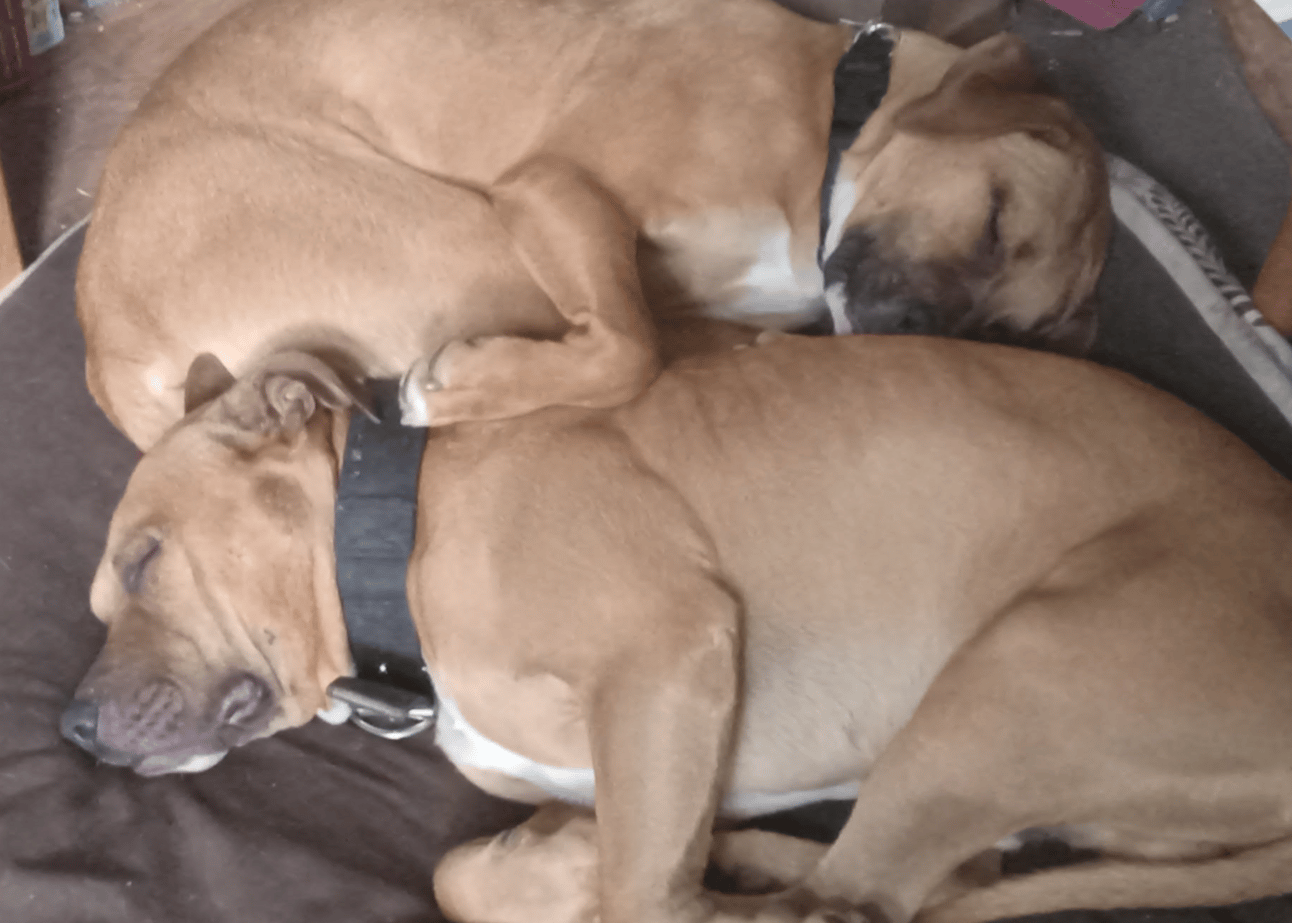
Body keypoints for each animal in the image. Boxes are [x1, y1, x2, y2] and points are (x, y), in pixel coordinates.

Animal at [64, 329, 1292, 923]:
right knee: (932, 880)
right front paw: (551, 860)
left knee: (859, 906)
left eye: (143, 560)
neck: (390, 522)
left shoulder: (663, 651)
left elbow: (641, 898)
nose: (71, 727)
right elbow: (469, 873)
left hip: (1003, 684)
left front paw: (578, 873)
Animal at [76, 0, 1110, 450]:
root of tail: (104, 332)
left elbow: (656, 335)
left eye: (1006, 331)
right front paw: (452, 389)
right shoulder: (553, 189)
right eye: (993, 220)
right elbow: (628, 349)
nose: (913, 336)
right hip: (474, 239)